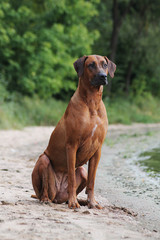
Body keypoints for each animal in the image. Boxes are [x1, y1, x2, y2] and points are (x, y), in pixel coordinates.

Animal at [31, 55, 116, 209]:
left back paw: (81, 201)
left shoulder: (97, 150)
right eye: (91, 65)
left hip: (82, 171)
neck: (92, 102)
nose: (103, 76)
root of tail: (57, 197)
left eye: (105, 64)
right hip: (43, 161)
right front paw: (73, 202)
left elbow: (92, 181)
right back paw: (48, 199)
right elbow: (71, 176)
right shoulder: (72, 146)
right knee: (43, 190)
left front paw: (92, 202)